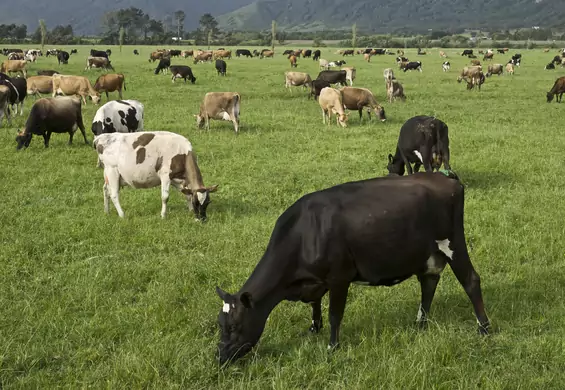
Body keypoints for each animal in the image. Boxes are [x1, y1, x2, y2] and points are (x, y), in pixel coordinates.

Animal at [214, 171, 486, 366]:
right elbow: (315, 305)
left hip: (453, 242)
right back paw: (420, 324)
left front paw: (332, 346)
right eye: (219, 324)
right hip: (427, 254)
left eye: (234, 327)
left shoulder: (339, 278)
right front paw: (313, 328)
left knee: (471, 281)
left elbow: (335, 315)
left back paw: (483, 328)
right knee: (428, 283)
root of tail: (445, 177)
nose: (220, 357)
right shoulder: (316, 281)